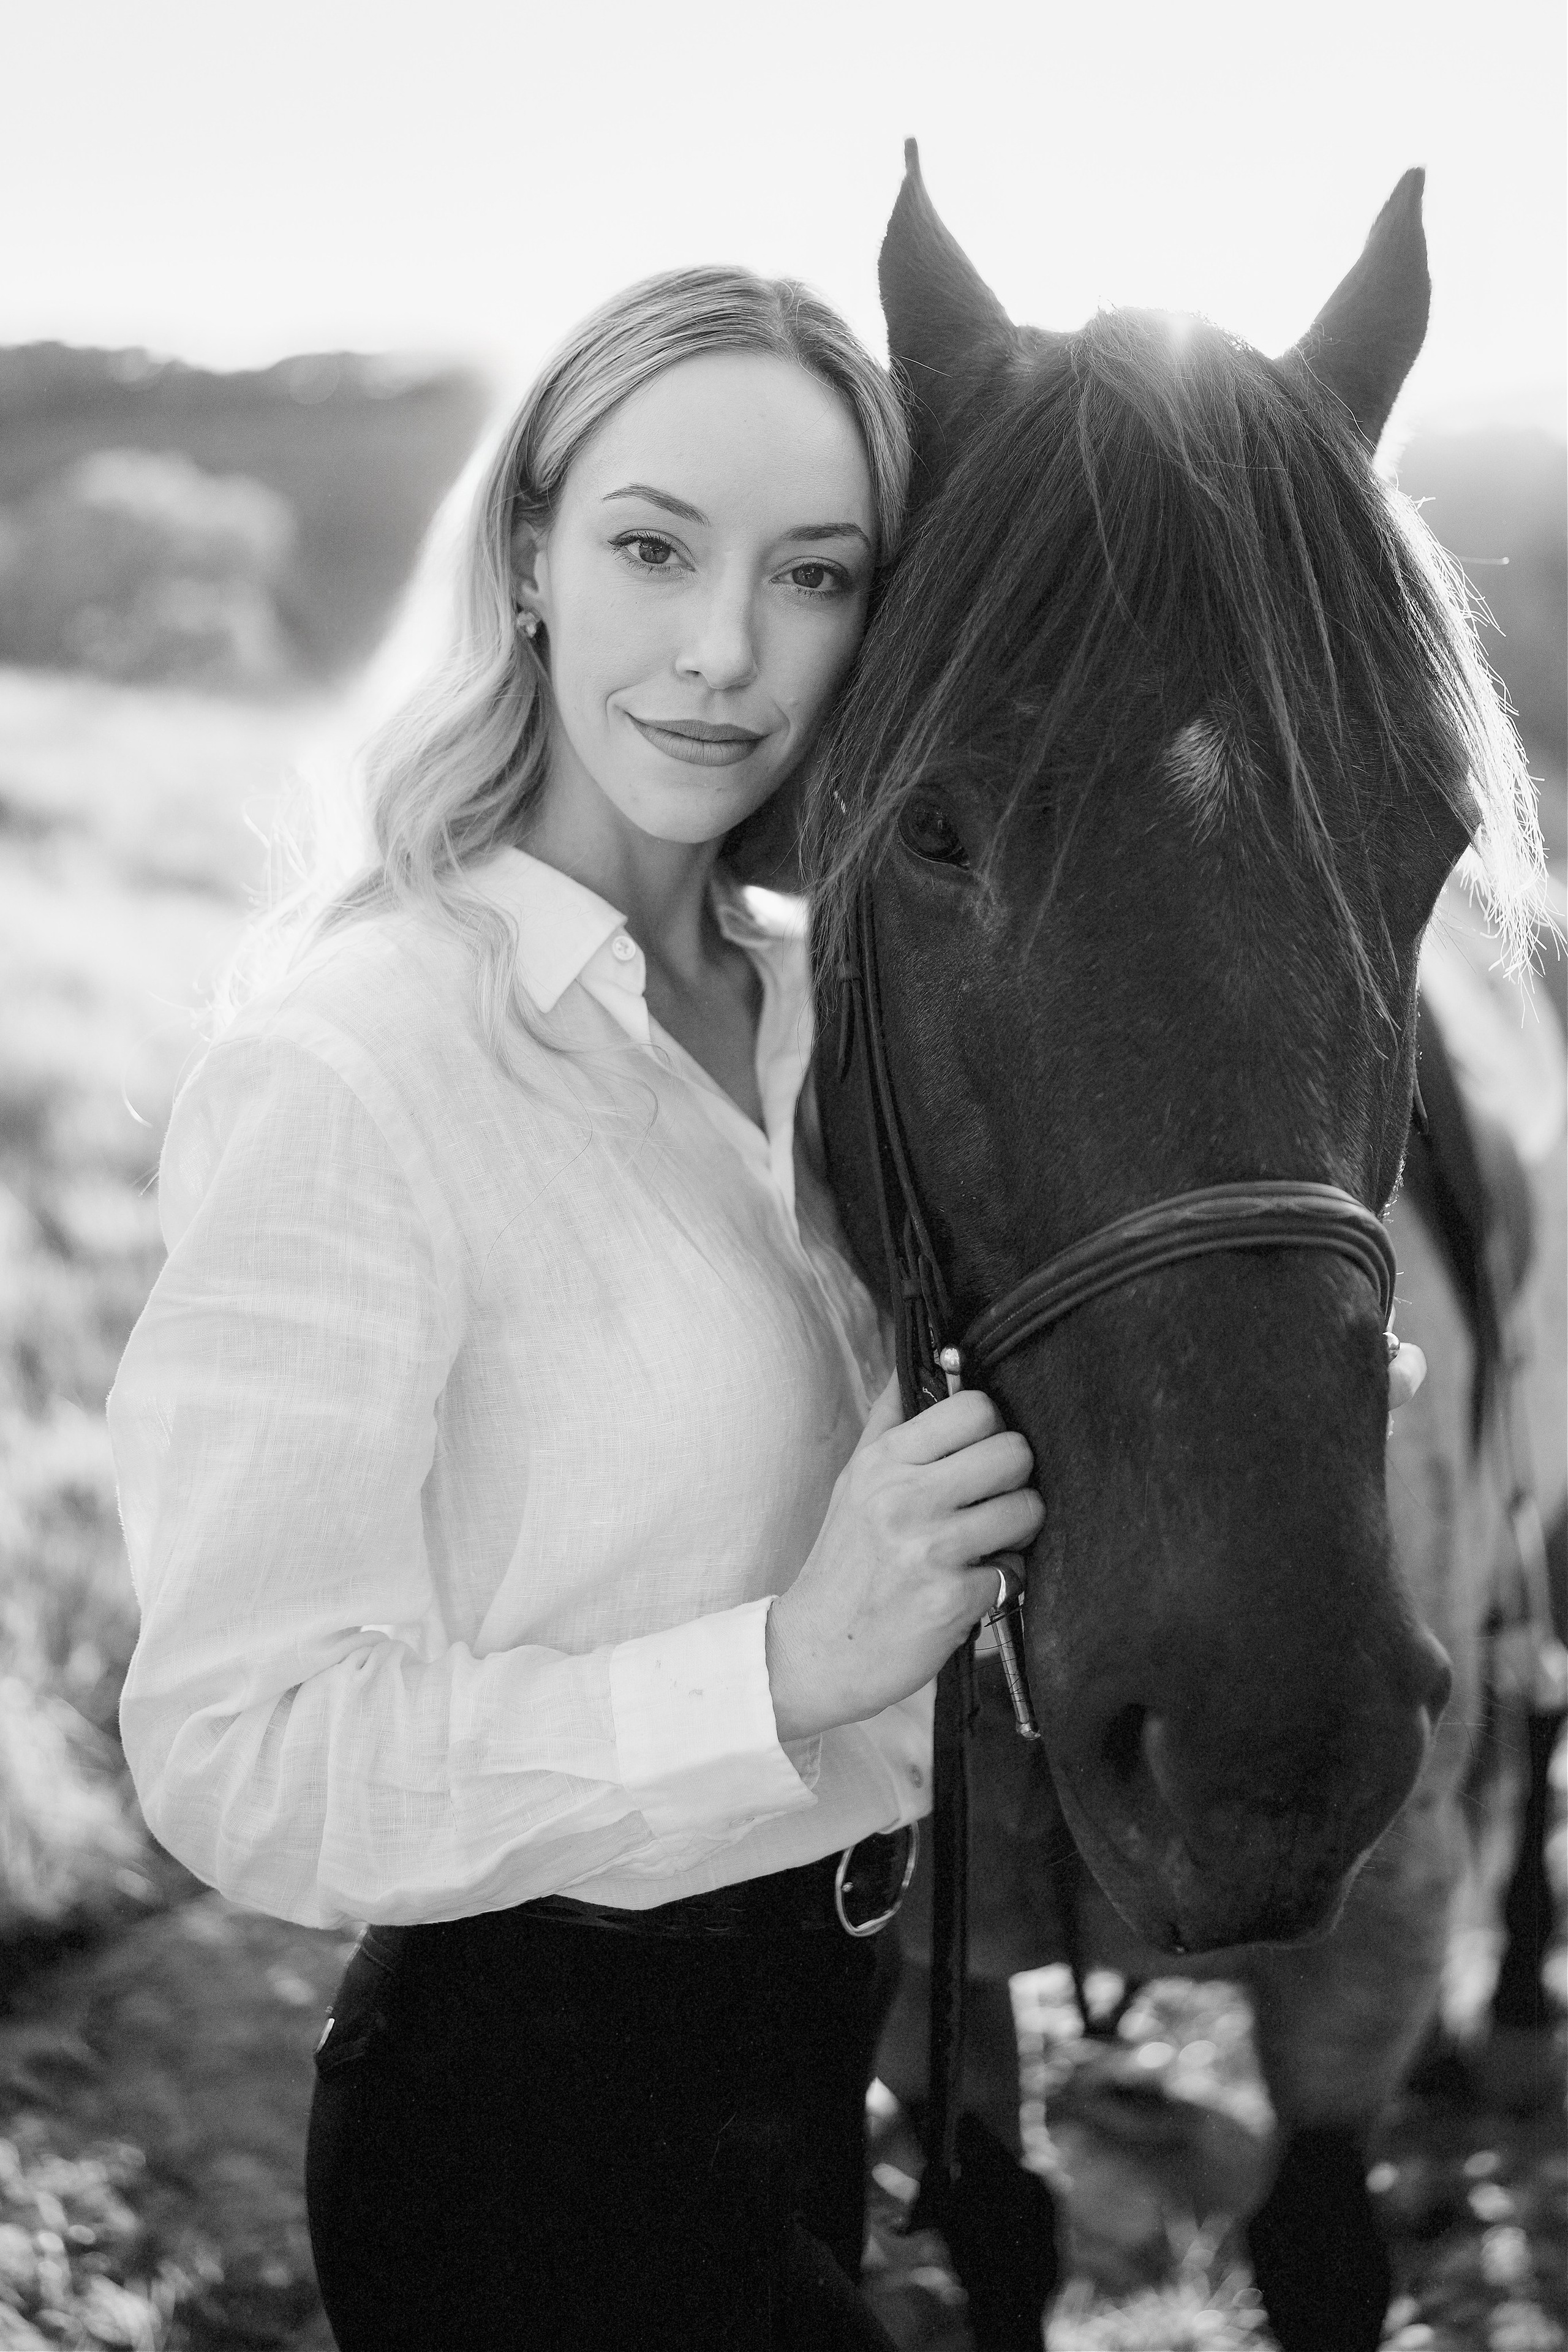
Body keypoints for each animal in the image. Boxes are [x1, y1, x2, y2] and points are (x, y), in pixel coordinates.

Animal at [799, 148, 1549, 2352]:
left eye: (1428, 843)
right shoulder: (931, 1977)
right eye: (931, 832)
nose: (1266, 1749)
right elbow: (996, 2223)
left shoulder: (1359, 1948)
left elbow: (1322, 2244)